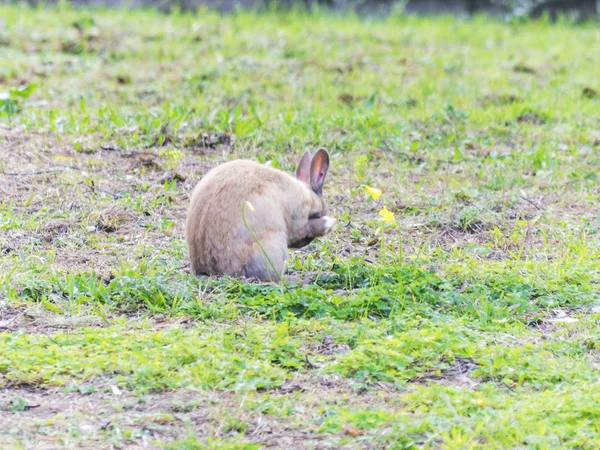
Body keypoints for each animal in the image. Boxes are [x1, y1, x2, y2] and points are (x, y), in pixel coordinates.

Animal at [186, 148, 338, 282]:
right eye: (317, 214)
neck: (307, 195)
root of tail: (210, 271)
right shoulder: (299, 220)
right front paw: (329, 223)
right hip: (271, 246)